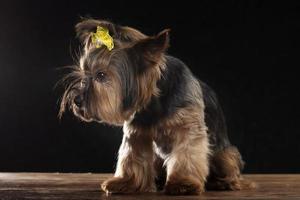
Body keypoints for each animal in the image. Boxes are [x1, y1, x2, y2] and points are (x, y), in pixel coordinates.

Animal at [58, 19, 253, 195]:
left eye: (101, 75)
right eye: (84, 73)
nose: (76, 100)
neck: (155, 102)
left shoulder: (188, 128)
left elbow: (187, 153)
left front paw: (183, 183)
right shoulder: (137, 132)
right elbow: (132, 156)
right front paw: (126, 182)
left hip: (224, 154)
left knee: (229, 166)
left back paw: (223, 182)